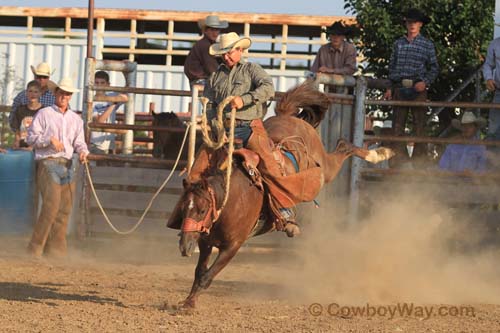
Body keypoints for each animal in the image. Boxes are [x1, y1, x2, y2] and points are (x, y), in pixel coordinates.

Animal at [168, 81, 394, 308]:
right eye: (183, 207)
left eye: (202, 209)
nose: (184, 247)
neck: (229, 201)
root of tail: (289, 117)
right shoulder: (205, 241)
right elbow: (199, 272)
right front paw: (189, 302)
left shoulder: (233, 245)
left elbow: (207, 276)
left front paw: (190, 302)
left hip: (325, 169)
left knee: (343, 146)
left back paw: (379, 153)